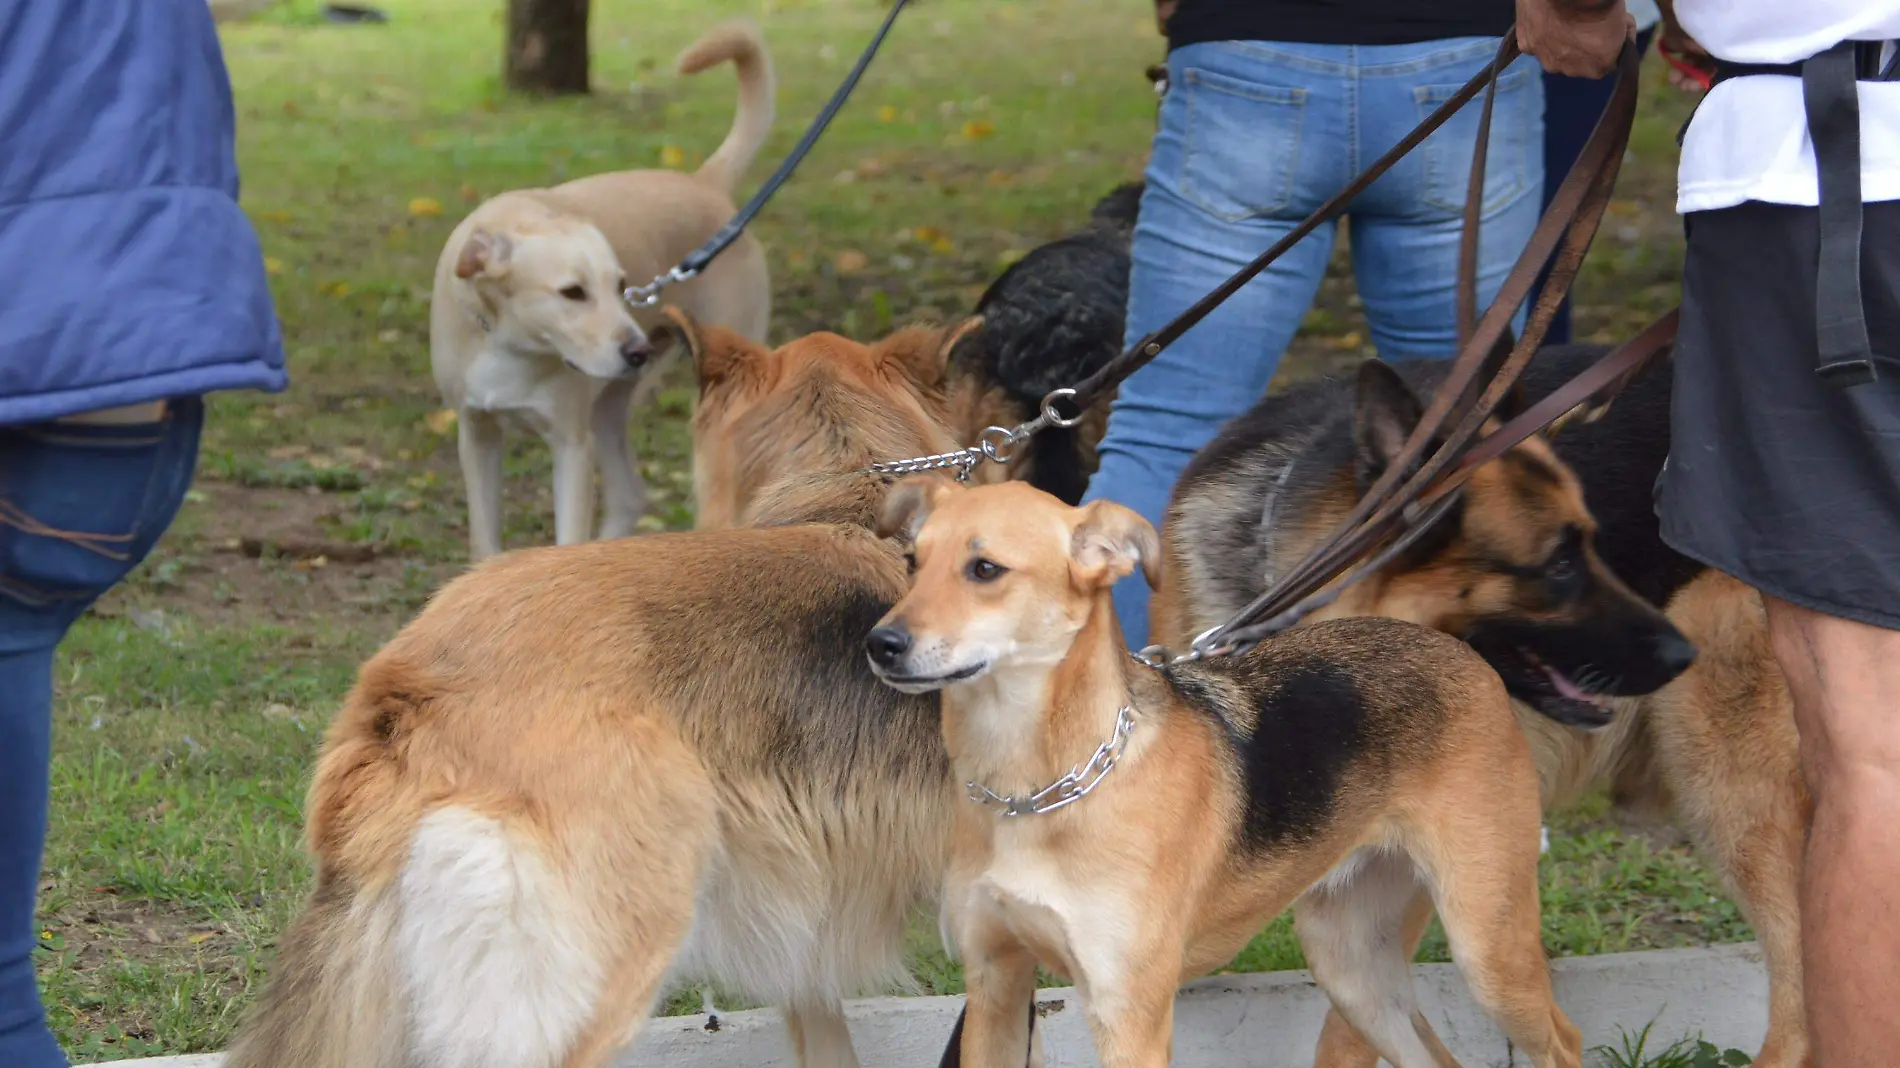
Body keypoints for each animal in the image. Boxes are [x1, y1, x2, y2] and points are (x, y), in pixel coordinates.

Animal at [435, 20, 775, 562]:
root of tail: (706, 185)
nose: (636, 350)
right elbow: (485, 544)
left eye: (620, 286)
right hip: (610, 409)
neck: (509, 342)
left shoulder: (571, 446)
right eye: (573, 293)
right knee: (630, 494)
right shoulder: (477, 436)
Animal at [870, 478, 1580, 1064]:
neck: (1037, 788)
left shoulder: (1127, 1017)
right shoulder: (996, 988)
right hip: (1355, 970)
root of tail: (1456, 649)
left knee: (1563, 1040)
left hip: (1488, 947)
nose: (879, 644)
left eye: (985, 569)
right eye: (912, 564)